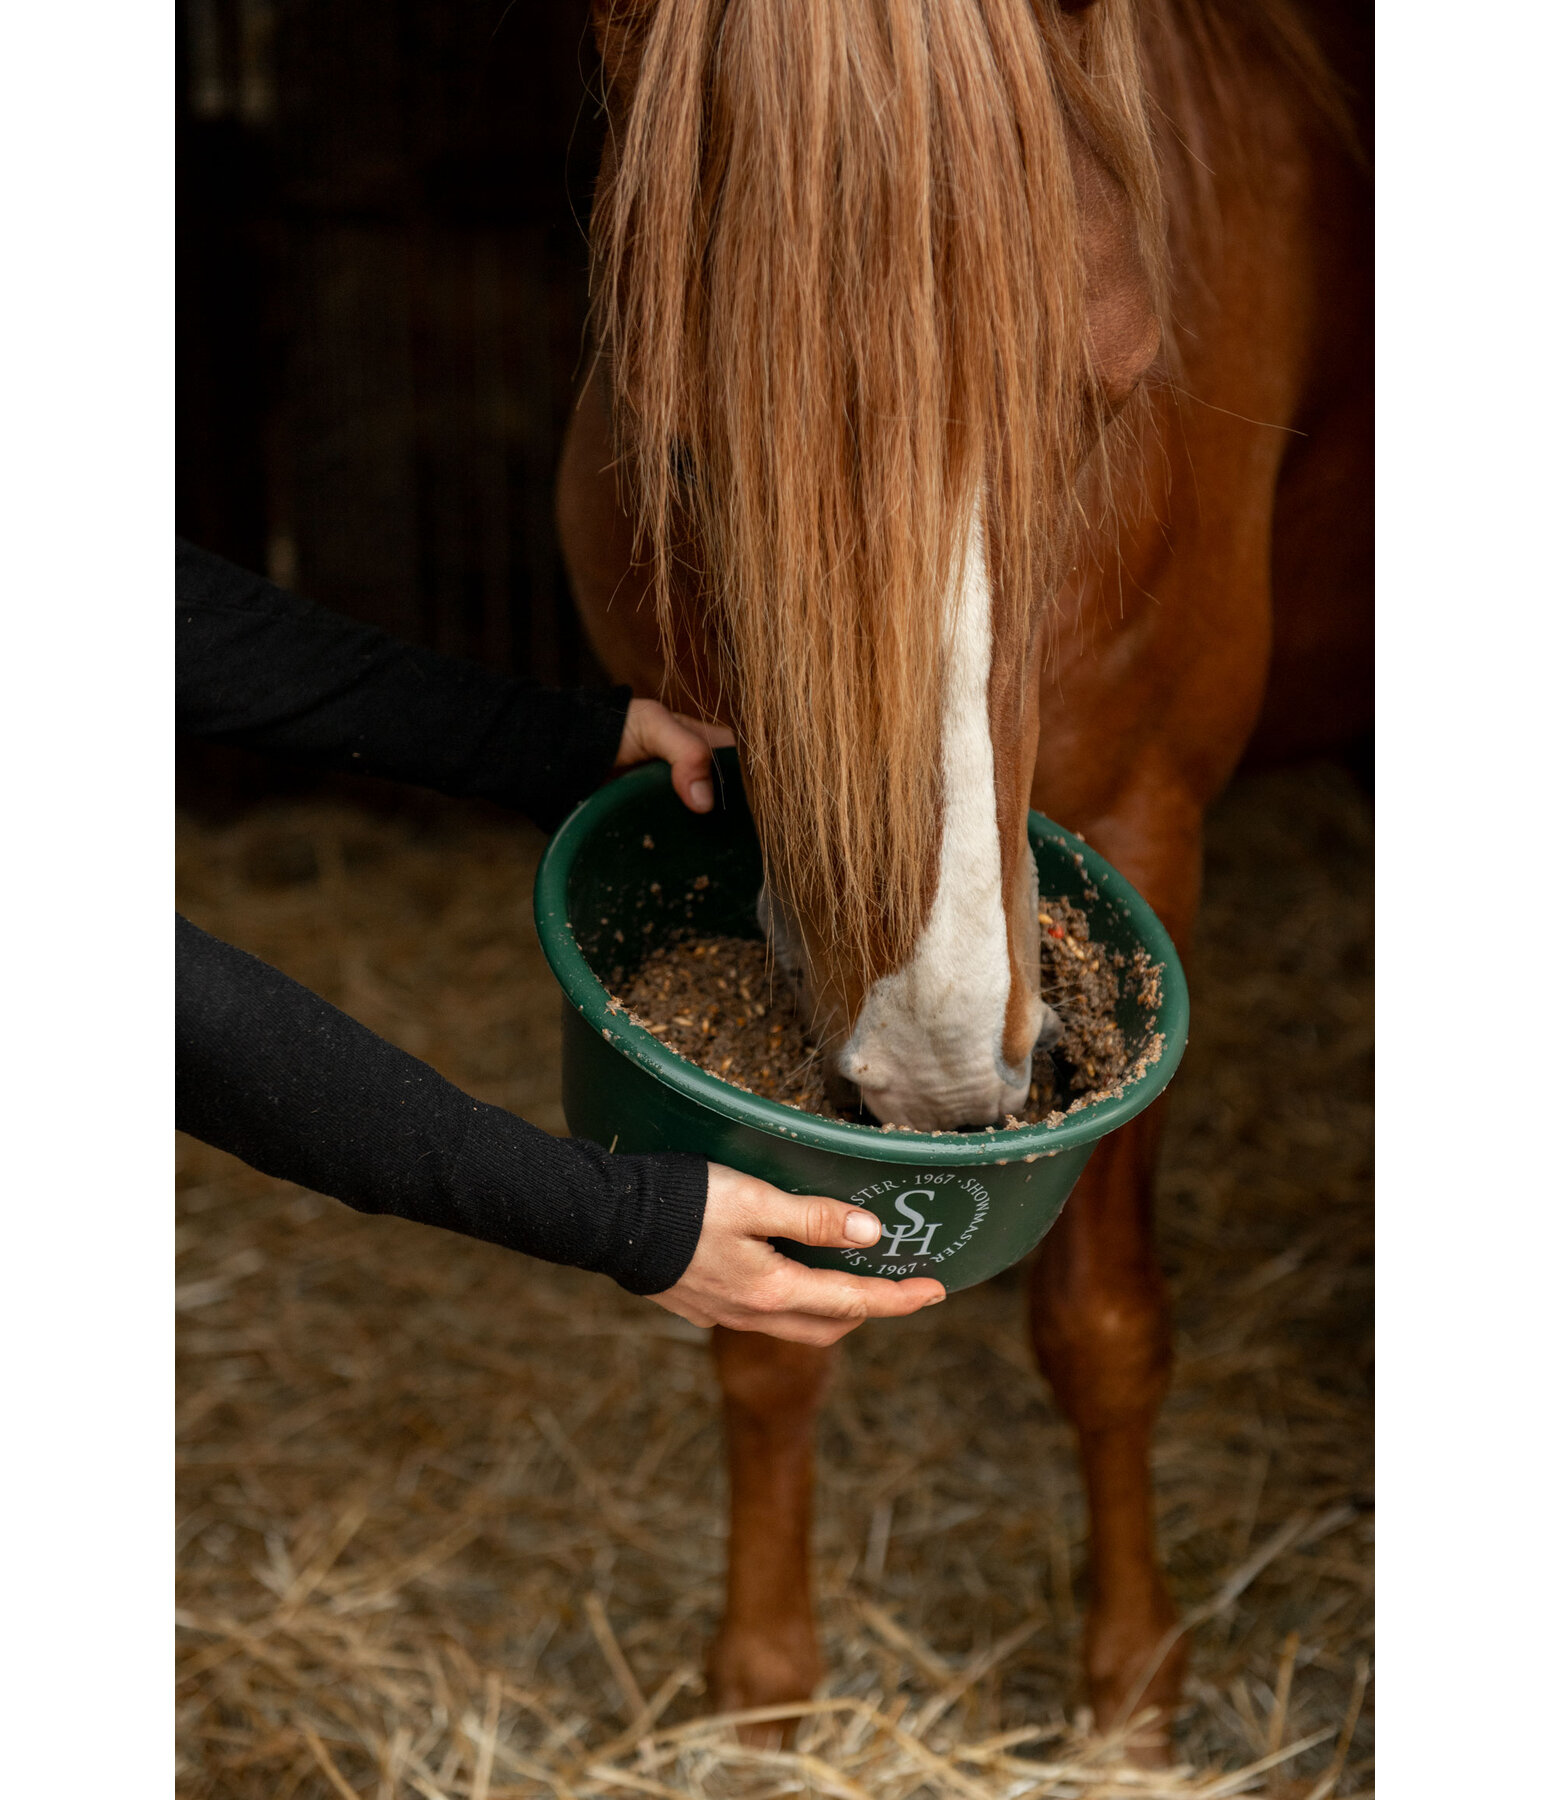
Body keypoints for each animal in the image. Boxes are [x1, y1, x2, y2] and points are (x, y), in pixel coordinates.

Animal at [554, 0, 1368, 1749]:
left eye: (1109, 395)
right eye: (687, 454)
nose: (929, 1070)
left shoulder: (1149, 829)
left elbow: (1103, 1322)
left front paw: (1128, 1692)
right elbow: (764, 1329)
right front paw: (765, 1692)